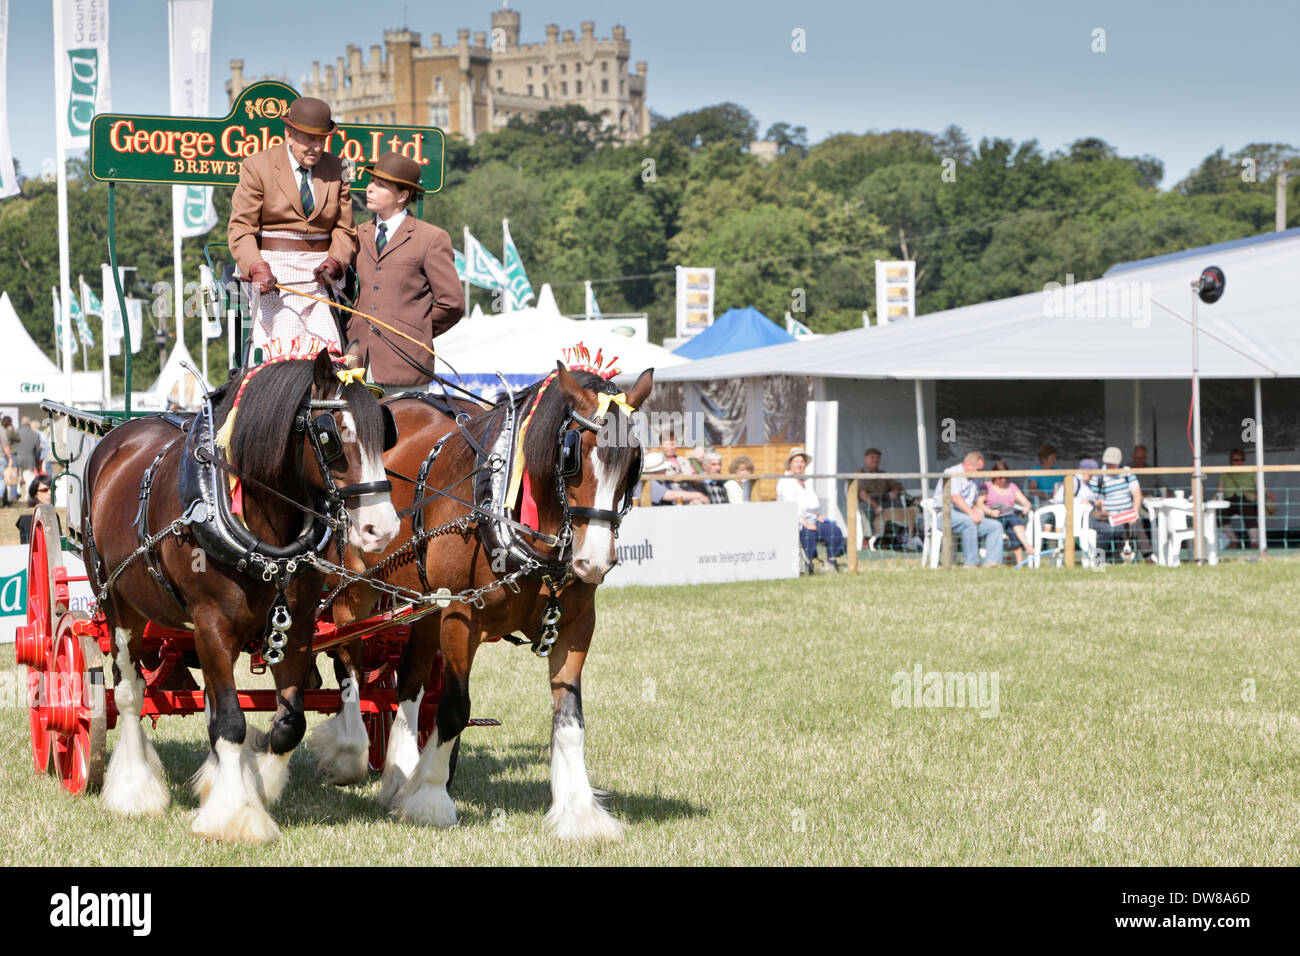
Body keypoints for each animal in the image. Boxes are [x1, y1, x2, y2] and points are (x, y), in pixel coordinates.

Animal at [84, 348, 397, 842]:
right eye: (332, 435)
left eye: (384, 433)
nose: (381, 529)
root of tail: (118, 437)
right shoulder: (211, 623)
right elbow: (230, 721)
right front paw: (235, 816)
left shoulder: (296, 624)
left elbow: (288, 722)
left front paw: (260, 781)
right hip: (118, 605)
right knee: (130, 692)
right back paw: (135, 791)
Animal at [321, 356, 655, 837]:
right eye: (572, 455)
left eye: (633, 461)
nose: (593, 561)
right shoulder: (462, 615)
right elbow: (455, 708)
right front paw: (431, 800)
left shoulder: (575, 625)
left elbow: (570, 718)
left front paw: (579, 814)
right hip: (354, 583)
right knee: (346, 656)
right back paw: (350, 752)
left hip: (424, 603)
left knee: (410, 680)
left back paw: (398, 776)